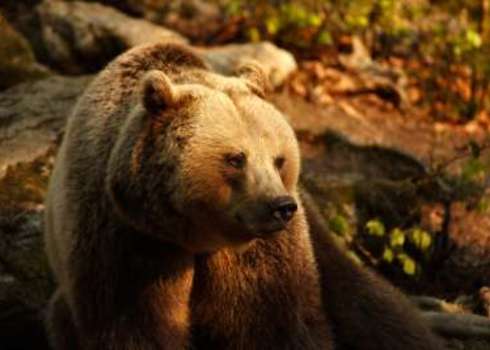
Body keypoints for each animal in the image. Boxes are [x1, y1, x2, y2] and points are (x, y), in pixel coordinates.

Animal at [44, 43, 446, 350]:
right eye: (236, 158)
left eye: (279, 158)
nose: (281, 207)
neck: (195, 237)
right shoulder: (128, 236)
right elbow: (135, 323)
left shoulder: (260, 252)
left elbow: (269, 319)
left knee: (375, 309)